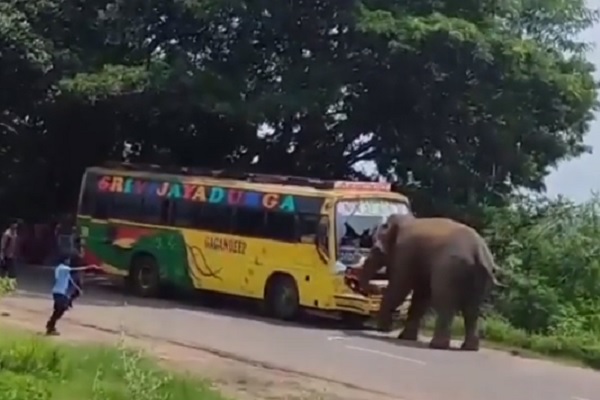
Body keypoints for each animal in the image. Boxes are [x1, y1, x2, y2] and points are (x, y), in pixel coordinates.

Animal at [358, 212, 504, 350]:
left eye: (377, 249)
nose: (376, 287)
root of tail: (479, 253)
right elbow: (421, 297)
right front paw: (405, 337)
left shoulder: (404, 253)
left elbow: (399, 288)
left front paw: (383, 329)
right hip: (479, 277)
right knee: (472, 309)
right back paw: (469, 348)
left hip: (449, 270)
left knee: (445, 302)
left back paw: (437, 345)